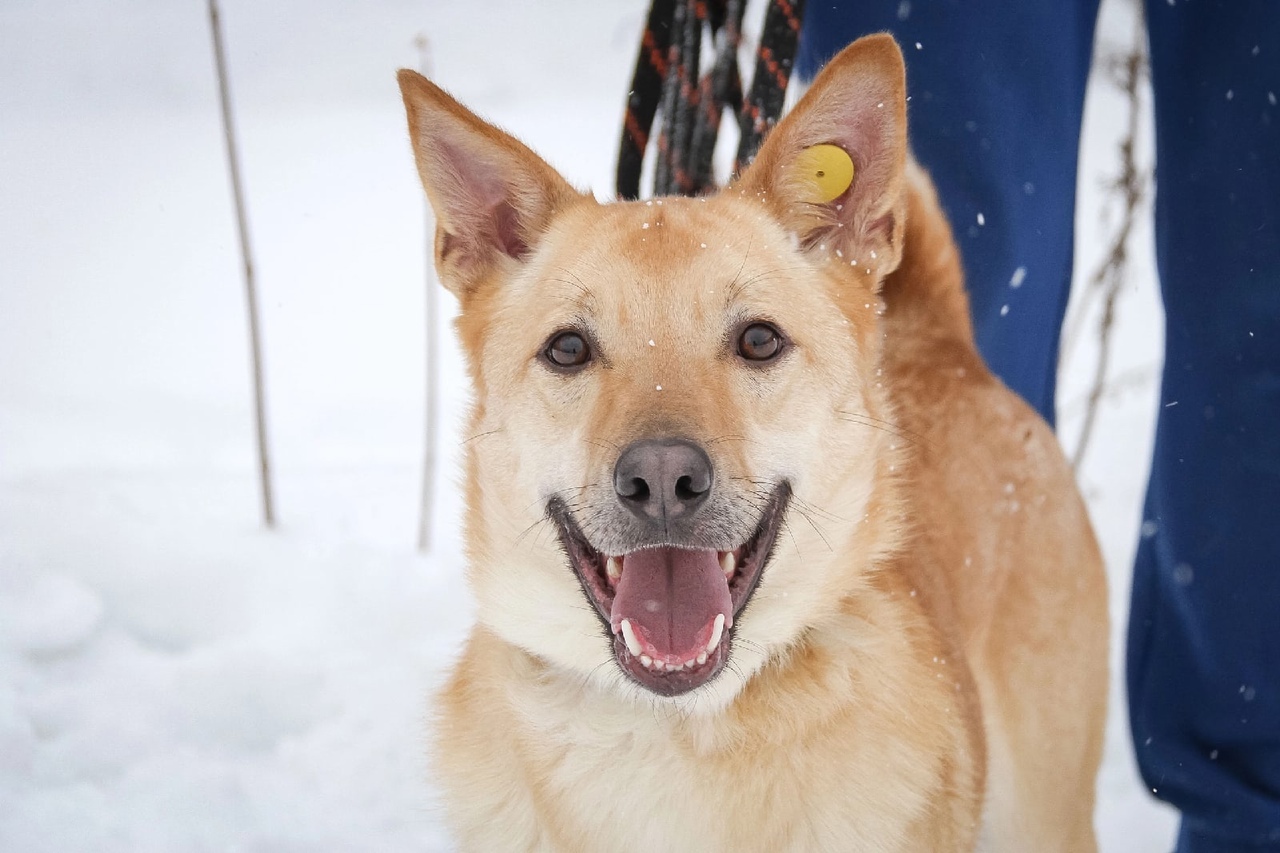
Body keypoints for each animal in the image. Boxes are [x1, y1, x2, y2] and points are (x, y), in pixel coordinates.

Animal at [399, 34, 1111, 850]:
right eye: (569, 349)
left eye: (759, 340)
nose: (662, 479)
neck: (676, 729)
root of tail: (941, 342)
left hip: (1046, 809)